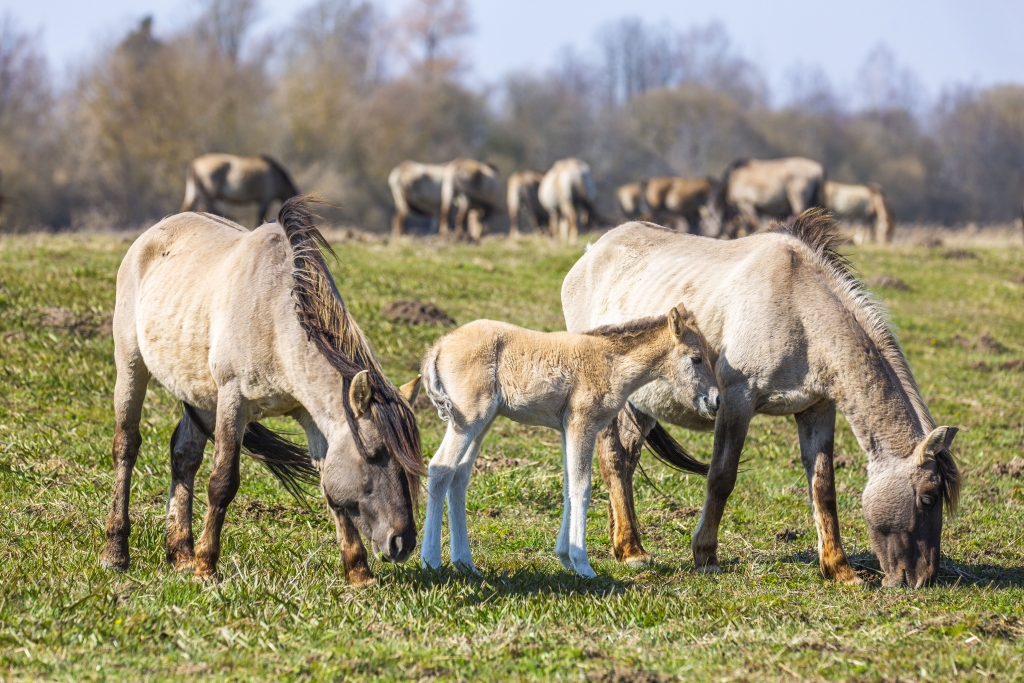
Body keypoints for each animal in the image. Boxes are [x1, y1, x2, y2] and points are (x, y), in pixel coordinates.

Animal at [101, 194, 421, 585]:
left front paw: (359, 572)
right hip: (131, 365)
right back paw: (117, 552)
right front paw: (206, 568)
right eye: (374, 454)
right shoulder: (233, 400)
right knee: (126, 447)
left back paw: (181, 554)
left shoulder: (311, 417)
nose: (402, 542)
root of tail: (154, 232)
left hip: (197, 393)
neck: (274, 319)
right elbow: (222, 482)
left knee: (184, 456)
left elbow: (331, 488)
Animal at [419, 305, 716, 577]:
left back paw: (465, 563)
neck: (610, 362)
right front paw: (582, 564)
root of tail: (440, 345)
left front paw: (565, 557)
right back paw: (431, 560)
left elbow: (568, 486)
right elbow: (582, 488)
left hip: (482, 422)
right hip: (468, 419)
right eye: (696, 358)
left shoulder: (565, 429)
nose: (714, 401)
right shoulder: (582, 424)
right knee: (440, 468)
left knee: (459, 478)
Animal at [565, 208, 962, 589]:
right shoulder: (736, 400)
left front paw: (840, 570)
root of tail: (589, 255)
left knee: (627, 461)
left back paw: (621, 540)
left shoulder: (817, 410)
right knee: (614, 459)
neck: (801, 310)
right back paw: (632, 549)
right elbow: (721, 478)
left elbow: (823, 487)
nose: (924, 579)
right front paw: (705, 556)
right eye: (928, 496)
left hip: (642, 404)